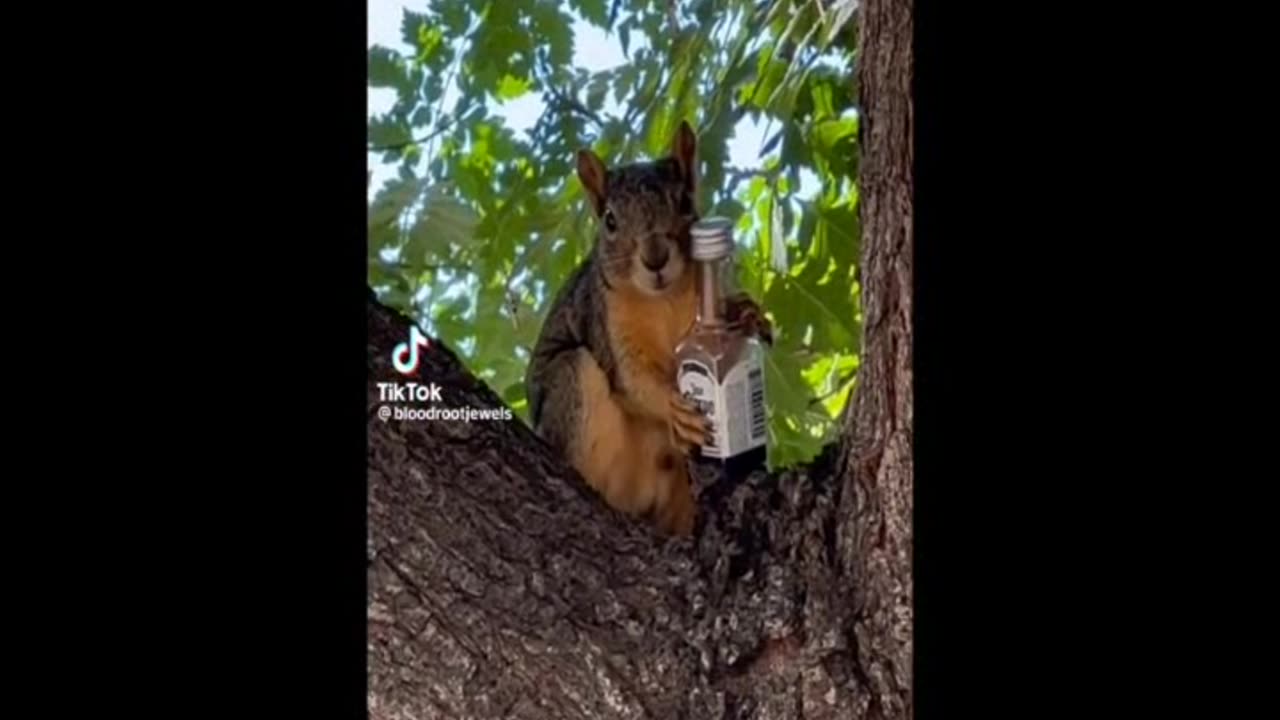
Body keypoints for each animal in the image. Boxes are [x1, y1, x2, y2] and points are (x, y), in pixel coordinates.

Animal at [524, 120, 771, 536]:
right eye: (609, 220)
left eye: (685, 203)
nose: (655, 258)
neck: (662, 300)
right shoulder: (607, 325)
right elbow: (633, 380)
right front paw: (676, 410)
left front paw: (748, 313)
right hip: (570, 385)